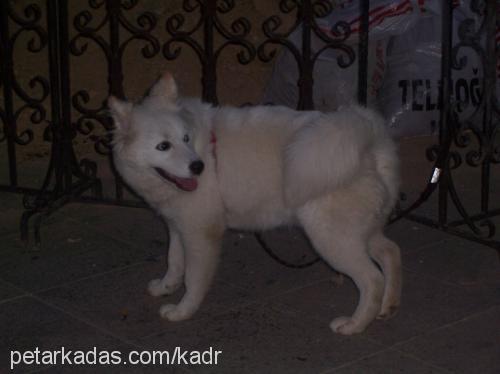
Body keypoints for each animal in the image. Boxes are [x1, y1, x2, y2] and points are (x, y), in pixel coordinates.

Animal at [108, 71, 402, 334]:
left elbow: (193, 279)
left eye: (185, 139)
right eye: (163, 146)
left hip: (332, 240)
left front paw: (182, 311)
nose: (198, 167)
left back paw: (354, 325)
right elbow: (174, 261)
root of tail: (370, 142)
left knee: (372, 279)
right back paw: (387, 307)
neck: (205, 148)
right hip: (361, 232)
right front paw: (165, 288)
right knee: (391, 252)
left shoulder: (201, 234)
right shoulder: (178, 225)